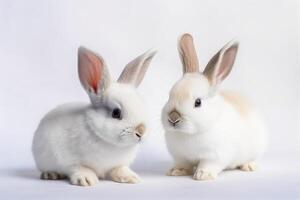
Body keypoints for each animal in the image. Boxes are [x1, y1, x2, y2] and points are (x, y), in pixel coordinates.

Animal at [31, 46, 156, 185]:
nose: (141, 131)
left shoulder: (117, 164)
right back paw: (50, 174)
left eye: (142, 105)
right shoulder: (69, 160)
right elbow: (78, 167)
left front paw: (131, 177)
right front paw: (86, 180)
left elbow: (119, 168)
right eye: (116, 113)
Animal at [163, 33, 268, 180]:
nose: (173, 118)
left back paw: (249, 166)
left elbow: (208, 165)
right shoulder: (180, 157)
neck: (189, 134)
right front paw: (176, 171)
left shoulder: (214, 156)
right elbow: (183, 164)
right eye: (169, 95)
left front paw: (203, 175)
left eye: (198, 102)